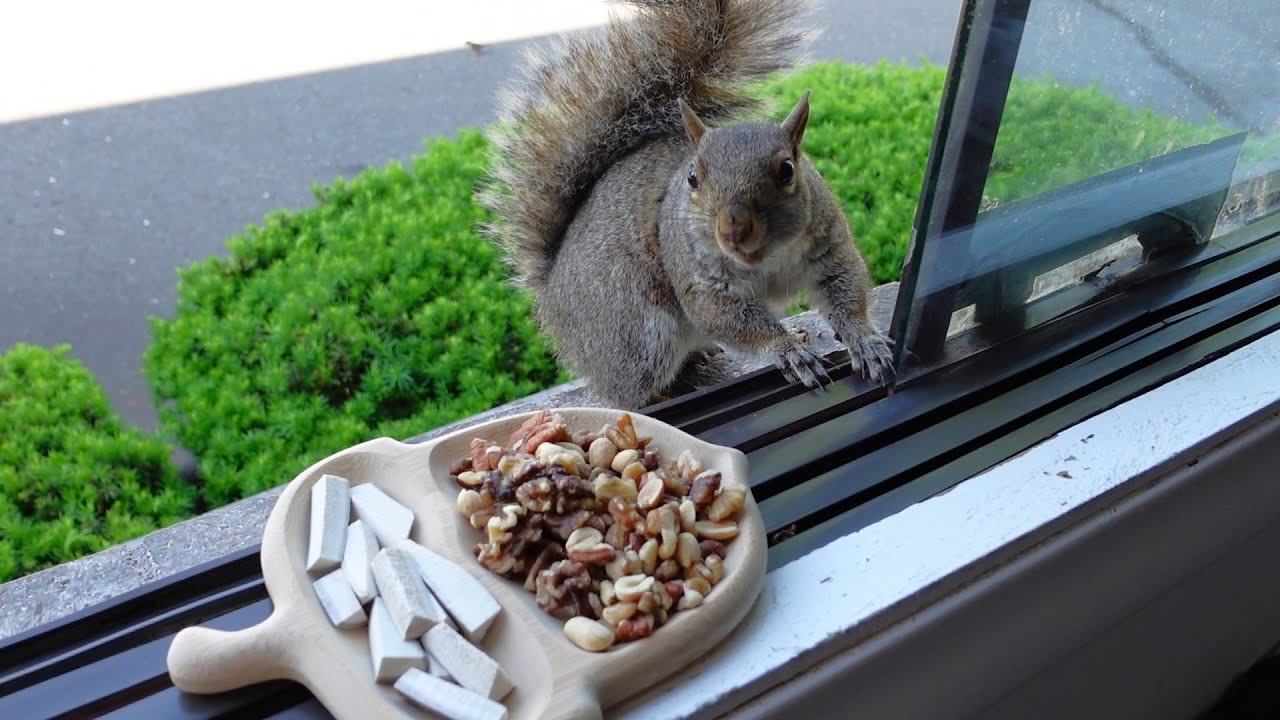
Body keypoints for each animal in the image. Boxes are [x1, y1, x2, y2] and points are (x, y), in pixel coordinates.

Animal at [483, 0, 893, 409]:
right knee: (628, 393)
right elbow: (730, 320)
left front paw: (865, 341)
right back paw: (663, 393)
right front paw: (788, 350)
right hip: (635, 331)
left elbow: (846, 294)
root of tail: (551, 295)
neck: (767, 260)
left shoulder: (829, 249)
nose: (733, 230)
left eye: (787, 171)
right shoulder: (701, 282)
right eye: (693, 177)